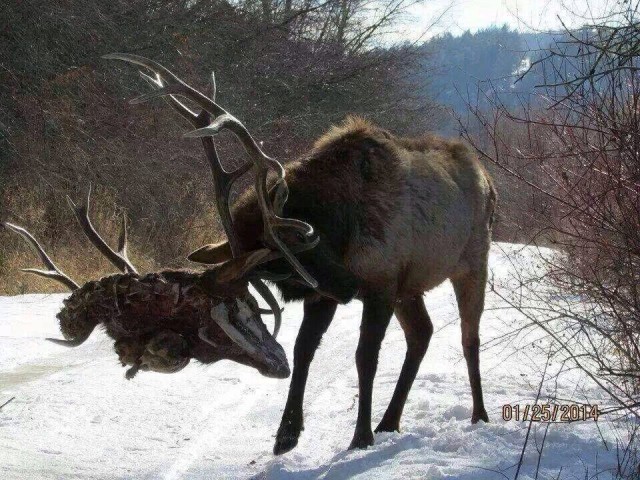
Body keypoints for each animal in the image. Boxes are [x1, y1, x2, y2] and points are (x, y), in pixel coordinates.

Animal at [5, 54, 497, 454]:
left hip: (472, 260)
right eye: (283, 257)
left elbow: (364, 356)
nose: (346, 286)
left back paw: (478, 415)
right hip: (412, 287)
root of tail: (488, 178)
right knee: (423, 333)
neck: (339, 223)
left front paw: (358, 437)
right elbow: (303, 350)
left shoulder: (380, 281)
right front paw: (286, 435)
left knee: (469, 338)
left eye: (293, 245)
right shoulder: (334, 291)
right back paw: (391, 420)